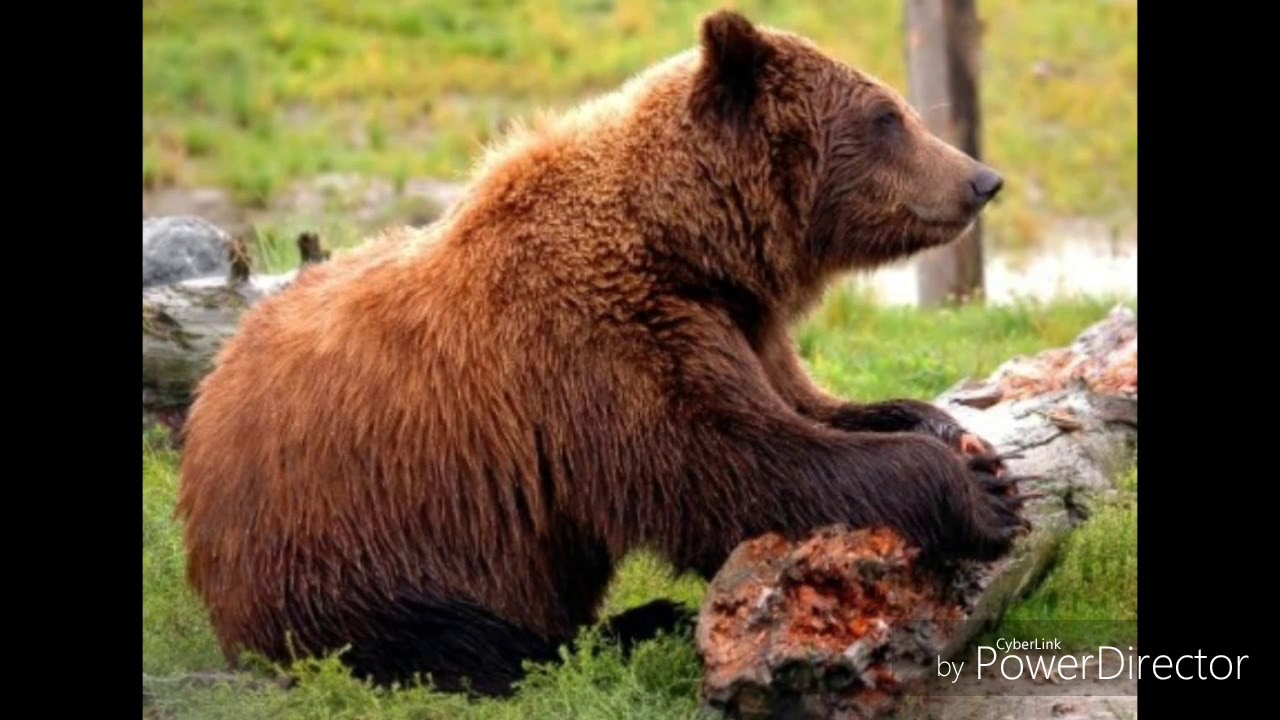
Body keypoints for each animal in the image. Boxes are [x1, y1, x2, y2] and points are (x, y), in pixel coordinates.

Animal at [177, 9, 1018, 696]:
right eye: (887, 115)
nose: (982, 178)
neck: (688, 248)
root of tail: (202, 421)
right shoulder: (602, 347)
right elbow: (736, 464)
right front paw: (978, 494)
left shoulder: (739, 324)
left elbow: (818, 409)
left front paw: (959, 438)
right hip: (348, 537)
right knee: (460, 640)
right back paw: (638, 623)